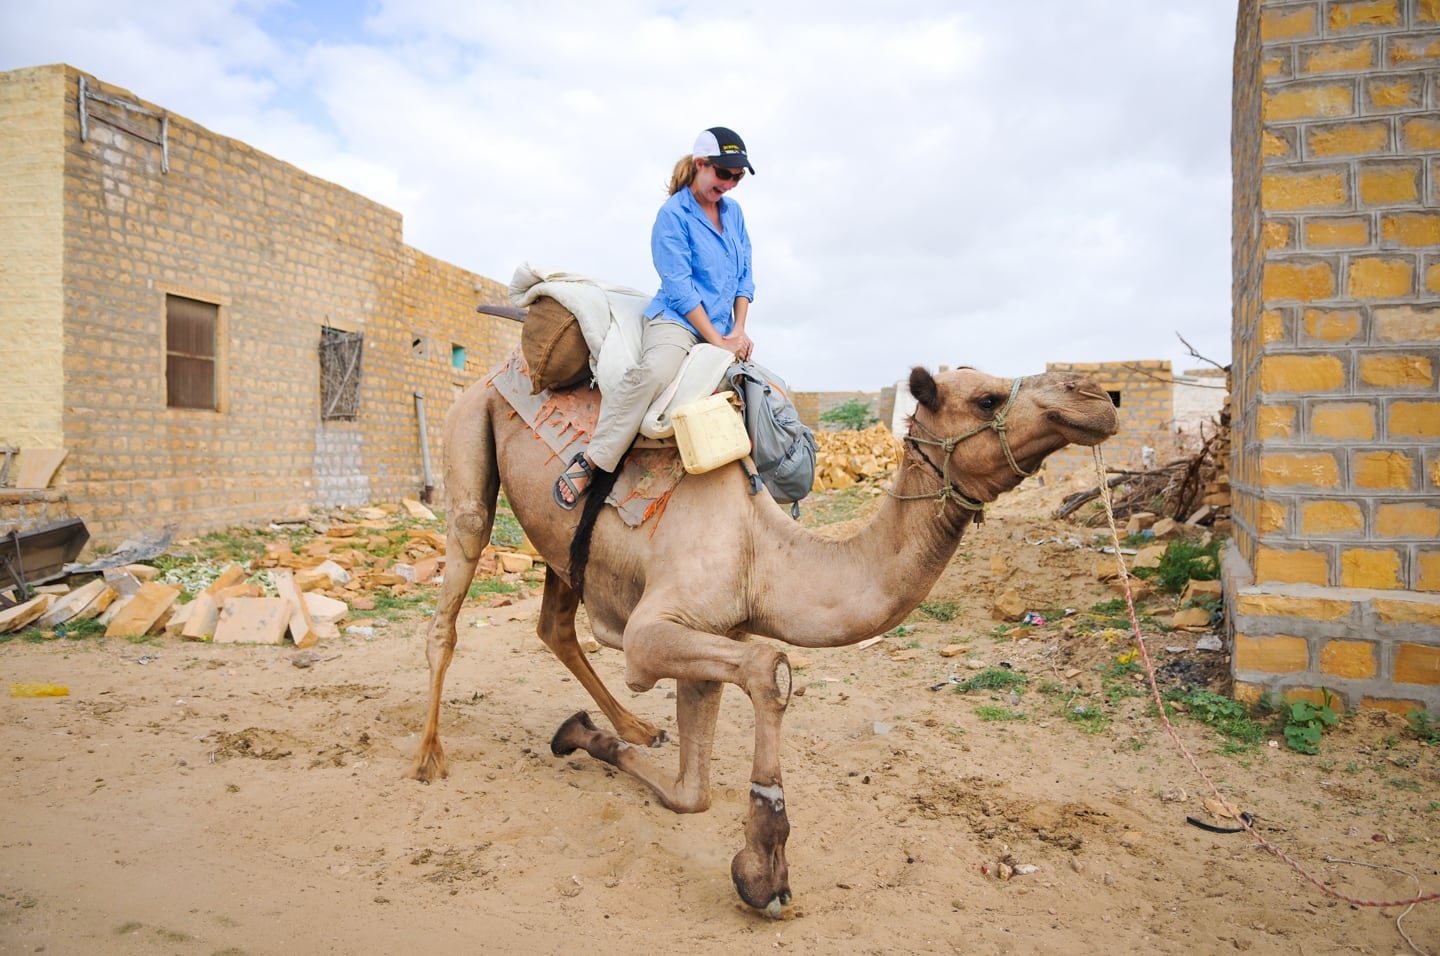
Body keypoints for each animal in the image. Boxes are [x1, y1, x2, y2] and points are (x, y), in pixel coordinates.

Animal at [411, 362, 1117, 915]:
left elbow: (692, 793)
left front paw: (584, 736)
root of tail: (492, 377)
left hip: (562, 550)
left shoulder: (715, 628)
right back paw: (428, 756)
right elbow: (770, 669)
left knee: (555, 625)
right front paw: (764, 871)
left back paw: (632, 726)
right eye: (988, 398)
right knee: (455, 584)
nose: (1100, 398)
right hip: (468, 431)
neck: (766, 552)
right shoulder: (653, 631)